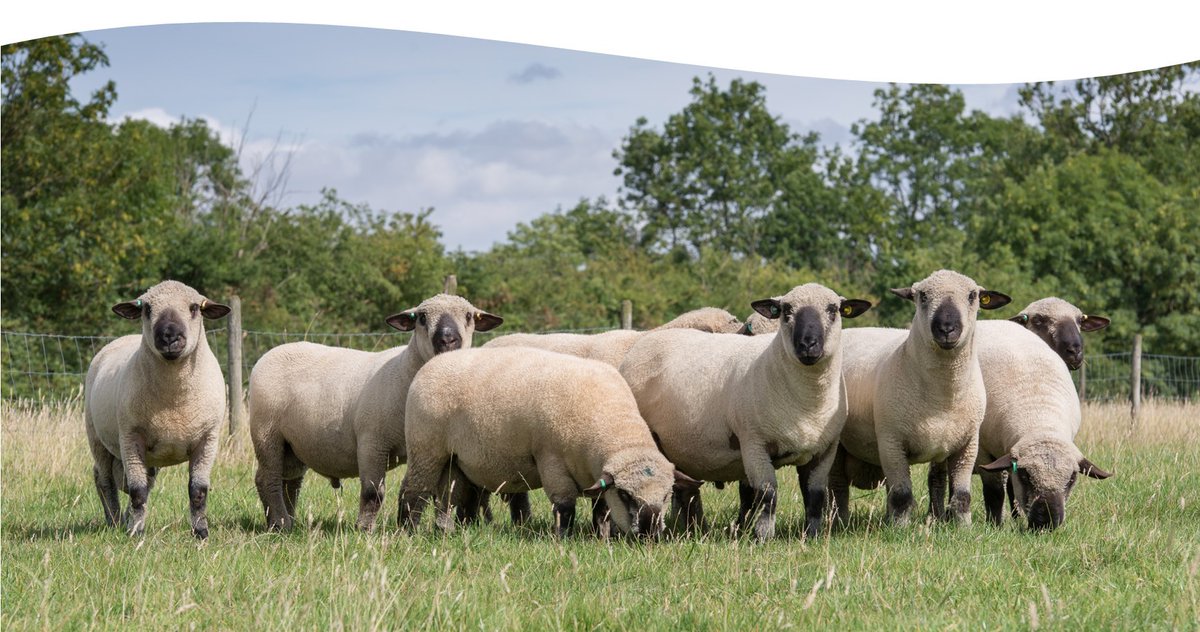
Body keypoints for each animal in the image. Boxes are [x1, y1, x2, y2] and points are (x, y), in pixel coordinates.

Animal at [84, 280, 231, 538]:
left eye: (194, 308)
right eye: (147, 309)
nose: (169, 336)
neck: (174, 402)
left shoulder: (208, 438)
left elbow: (198, 490)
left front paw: (201, 532)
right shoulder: (130, 436)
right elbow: (137, 490)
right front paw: (136, 534)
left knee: (137, 480)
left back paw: (124, 520)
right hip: (97, 439)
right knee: (105, 480)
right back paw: (114, 521)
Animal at [247, 342, 406, 526]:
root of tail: (267, 355)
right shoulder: (373, 444)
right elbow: (373, 492)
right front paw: (364, 528)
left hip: (293, 444)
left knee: (290, 482)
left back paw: (288, 520)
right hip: (267, 433)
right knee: (267, 480)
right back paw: (280, 524)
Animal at [398, 347, 699, 538]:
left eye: (667, 494)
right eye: (625, 495)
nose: (650, 533)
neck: (610, 422)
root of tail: (430, 365)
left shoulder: (595, 473)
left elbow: (601, 509)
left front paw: (602, 535)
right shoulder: (551, 461)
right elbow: (564, 507)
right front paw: (563, 538)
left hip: (455, 460)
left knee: (449, 495)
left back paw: (445, 531)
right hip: (426, 448)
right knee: (413, 490)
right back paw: (408, 531)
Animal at [618, 283, 872, 539]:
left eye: (833, 310)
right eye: (786, 311)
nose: (807, 345)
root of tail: (647, 339)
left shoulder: (824, 450)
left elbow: (815, 496)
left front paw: (811, 535)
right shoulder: (754, 444)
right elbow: (767, 493)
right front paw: (763, 536)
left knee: (686, 490)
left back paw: (695, 530)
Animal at [833, 270, 1011, 526]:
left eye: (972, 296)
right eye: (923, 296)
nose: (946, 328)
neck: (942, 396)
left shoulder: (968, 444)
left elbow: (962, 495)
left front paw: (963, 526)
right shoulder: (891, 442)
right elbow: (902, 494)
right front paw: (900, 528)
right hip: (837, 443)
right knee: (837, 485)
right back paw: (839, 521)